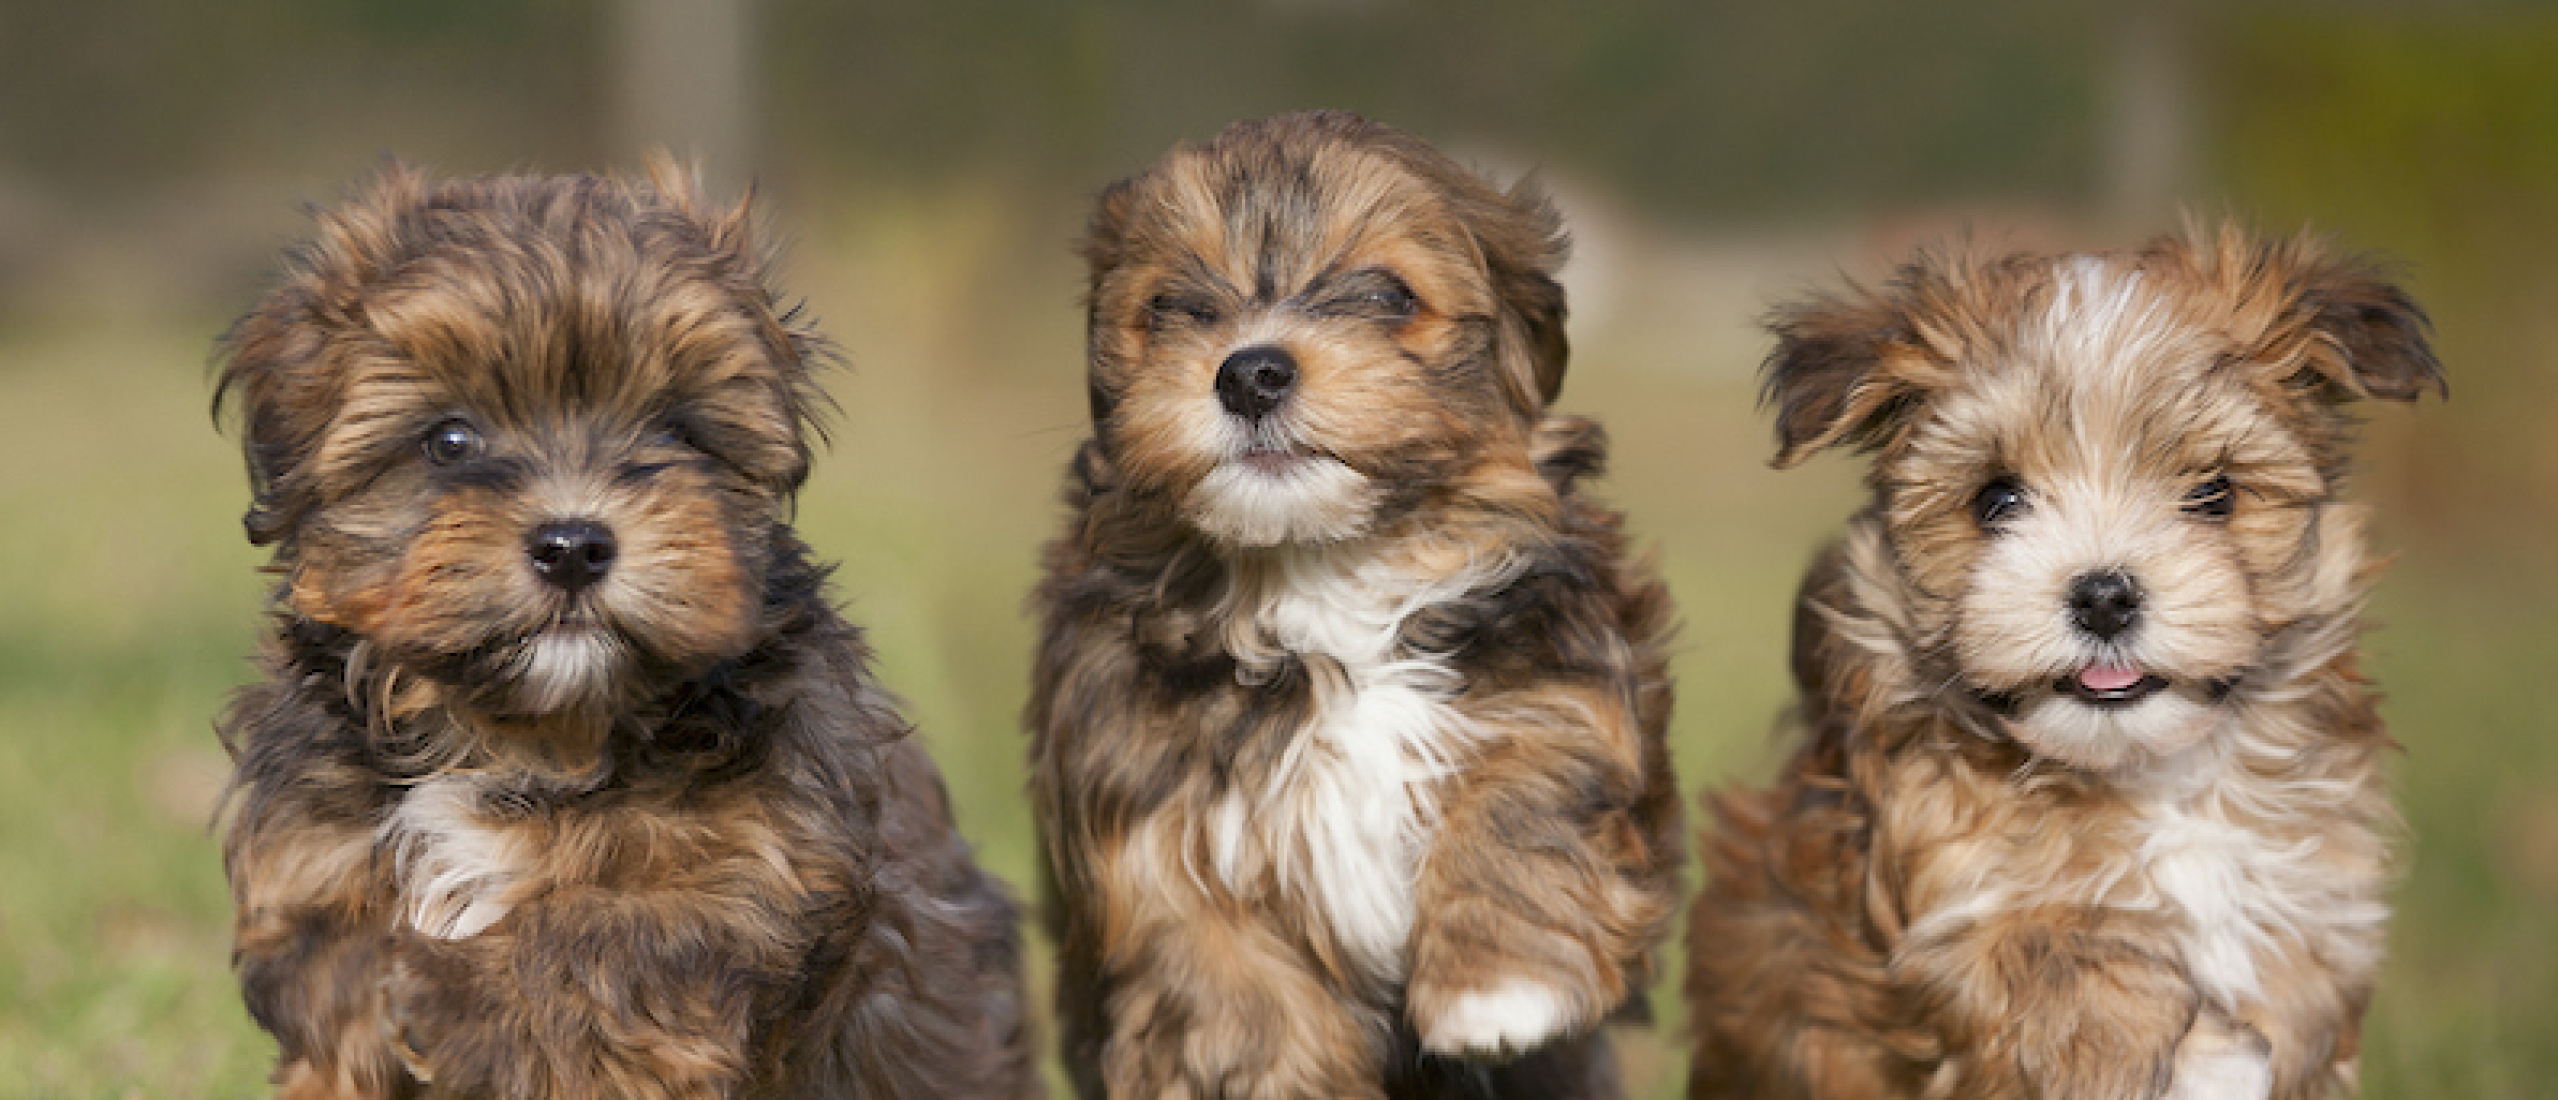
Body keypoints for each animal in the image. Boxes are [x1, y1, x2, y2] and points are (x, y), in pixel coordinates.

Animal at [217, 163, 1038, 1100]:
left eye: (676, 431)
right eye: (450, 440)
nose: (573, 545)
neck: (520, 740)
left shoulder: (749, 869)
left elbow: (596, 937)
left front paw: (443, 993)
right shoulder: (312, 865)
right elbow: (331, 987)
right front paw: (377, 995)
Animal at [1028, 105, 1688, 1100]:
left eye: (1385, 295)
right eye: (1173, 309)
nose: (1249, 373)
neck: (1322, 579)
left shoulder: (1562, 679)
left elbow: (1526, 785)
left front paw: (1498, 990)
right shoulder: (1147, 818)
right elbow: (1232, 993)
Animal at [1688, 225, 2445, 1100]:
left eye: (2214, 494)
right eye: (1997, 500)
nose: (2105, 597)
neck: (2153, 776)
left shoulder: (2315, 905)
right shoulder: (1952, 901)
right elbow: (2063, 964)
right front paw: (2191, 1049)